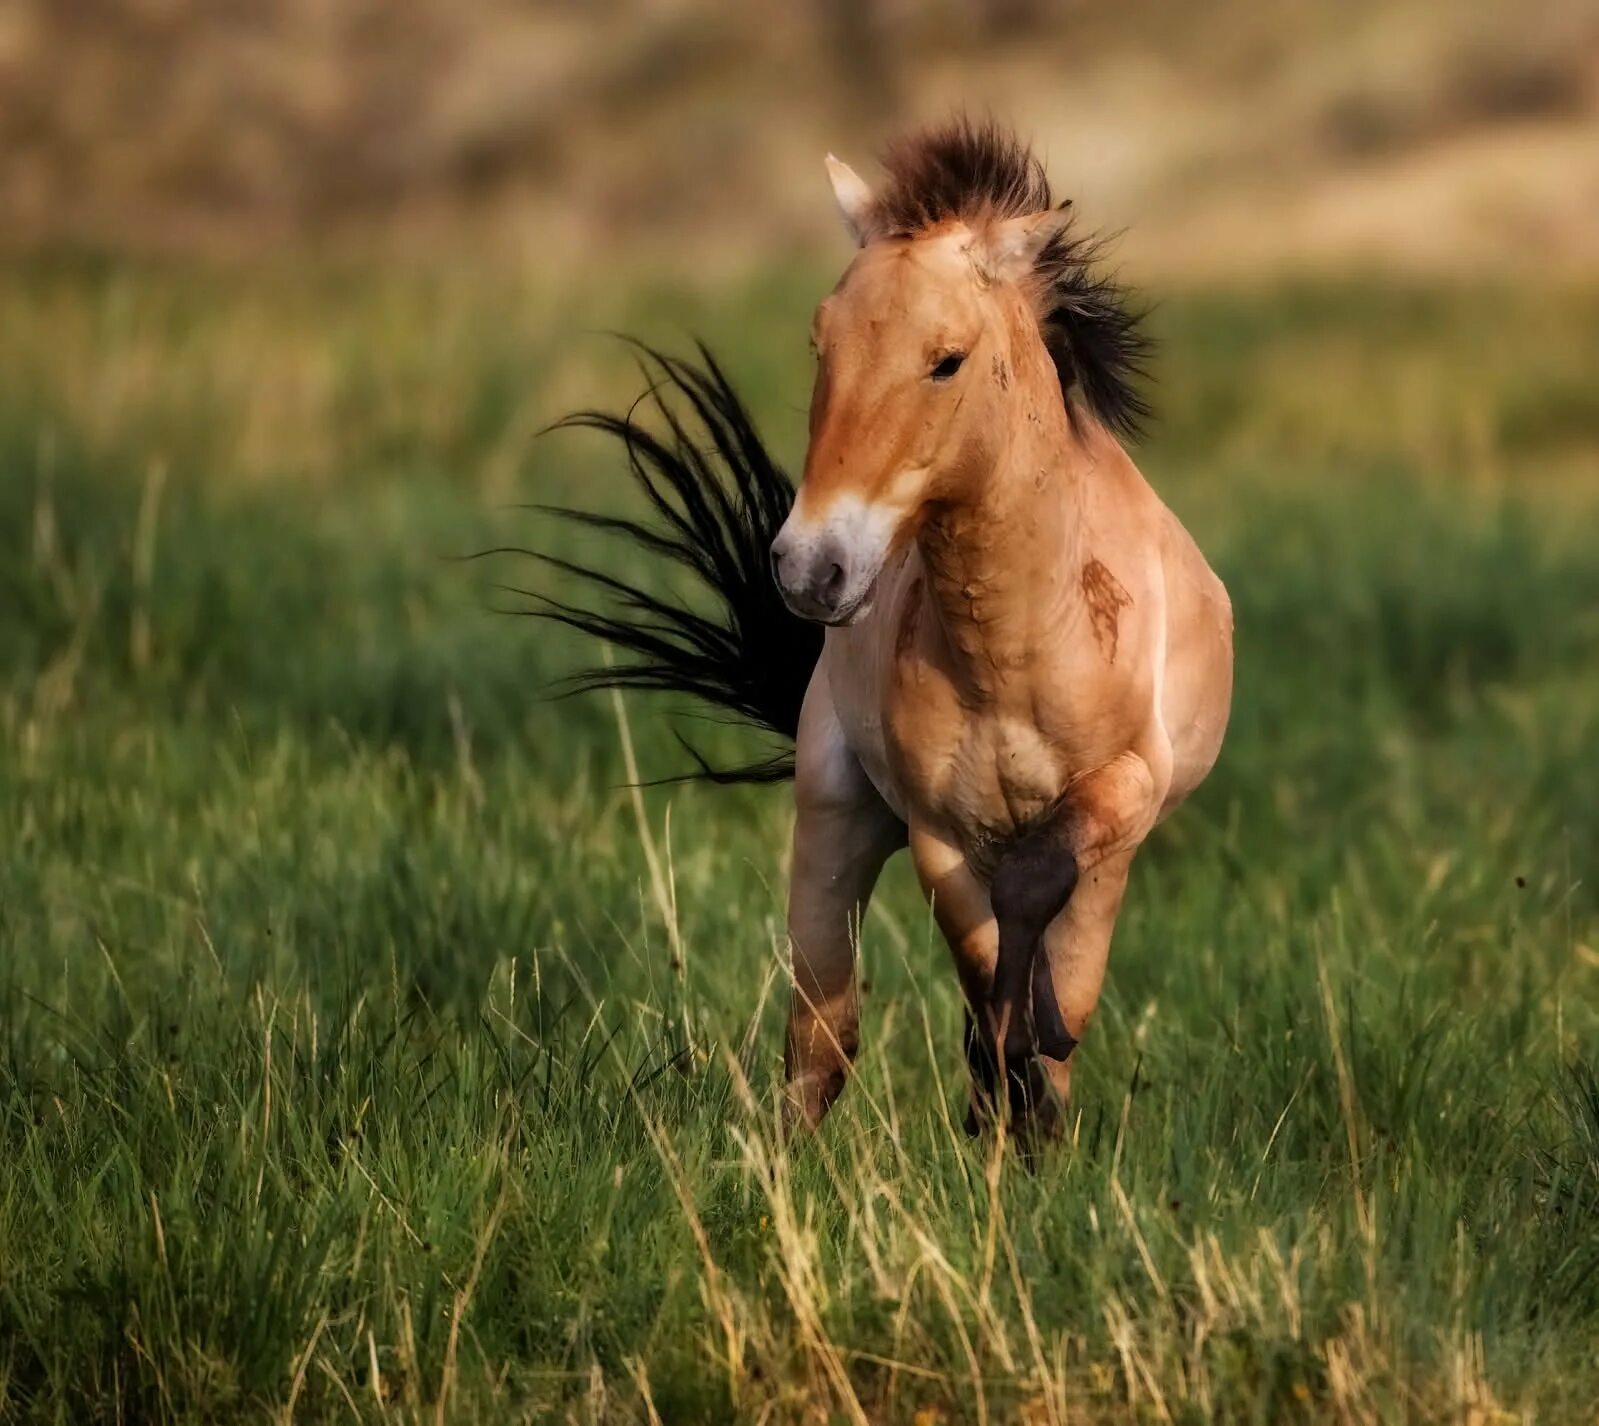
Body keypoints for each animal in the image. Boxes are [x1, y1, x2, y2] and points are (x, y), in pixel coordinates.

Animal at [524, 122, 1234, 1144]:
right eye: (820, 341)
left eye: (946, 359)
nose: (809, 566)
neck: (1019, 648)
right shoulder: (934, 827)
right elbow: (978, 974)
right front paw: (1011, 1070)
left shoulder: (1125, 787)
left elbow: (1036, 912)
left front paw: (1033, 1062)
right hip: (834, 821)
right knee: (821, 1037)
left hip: (1109, 855)